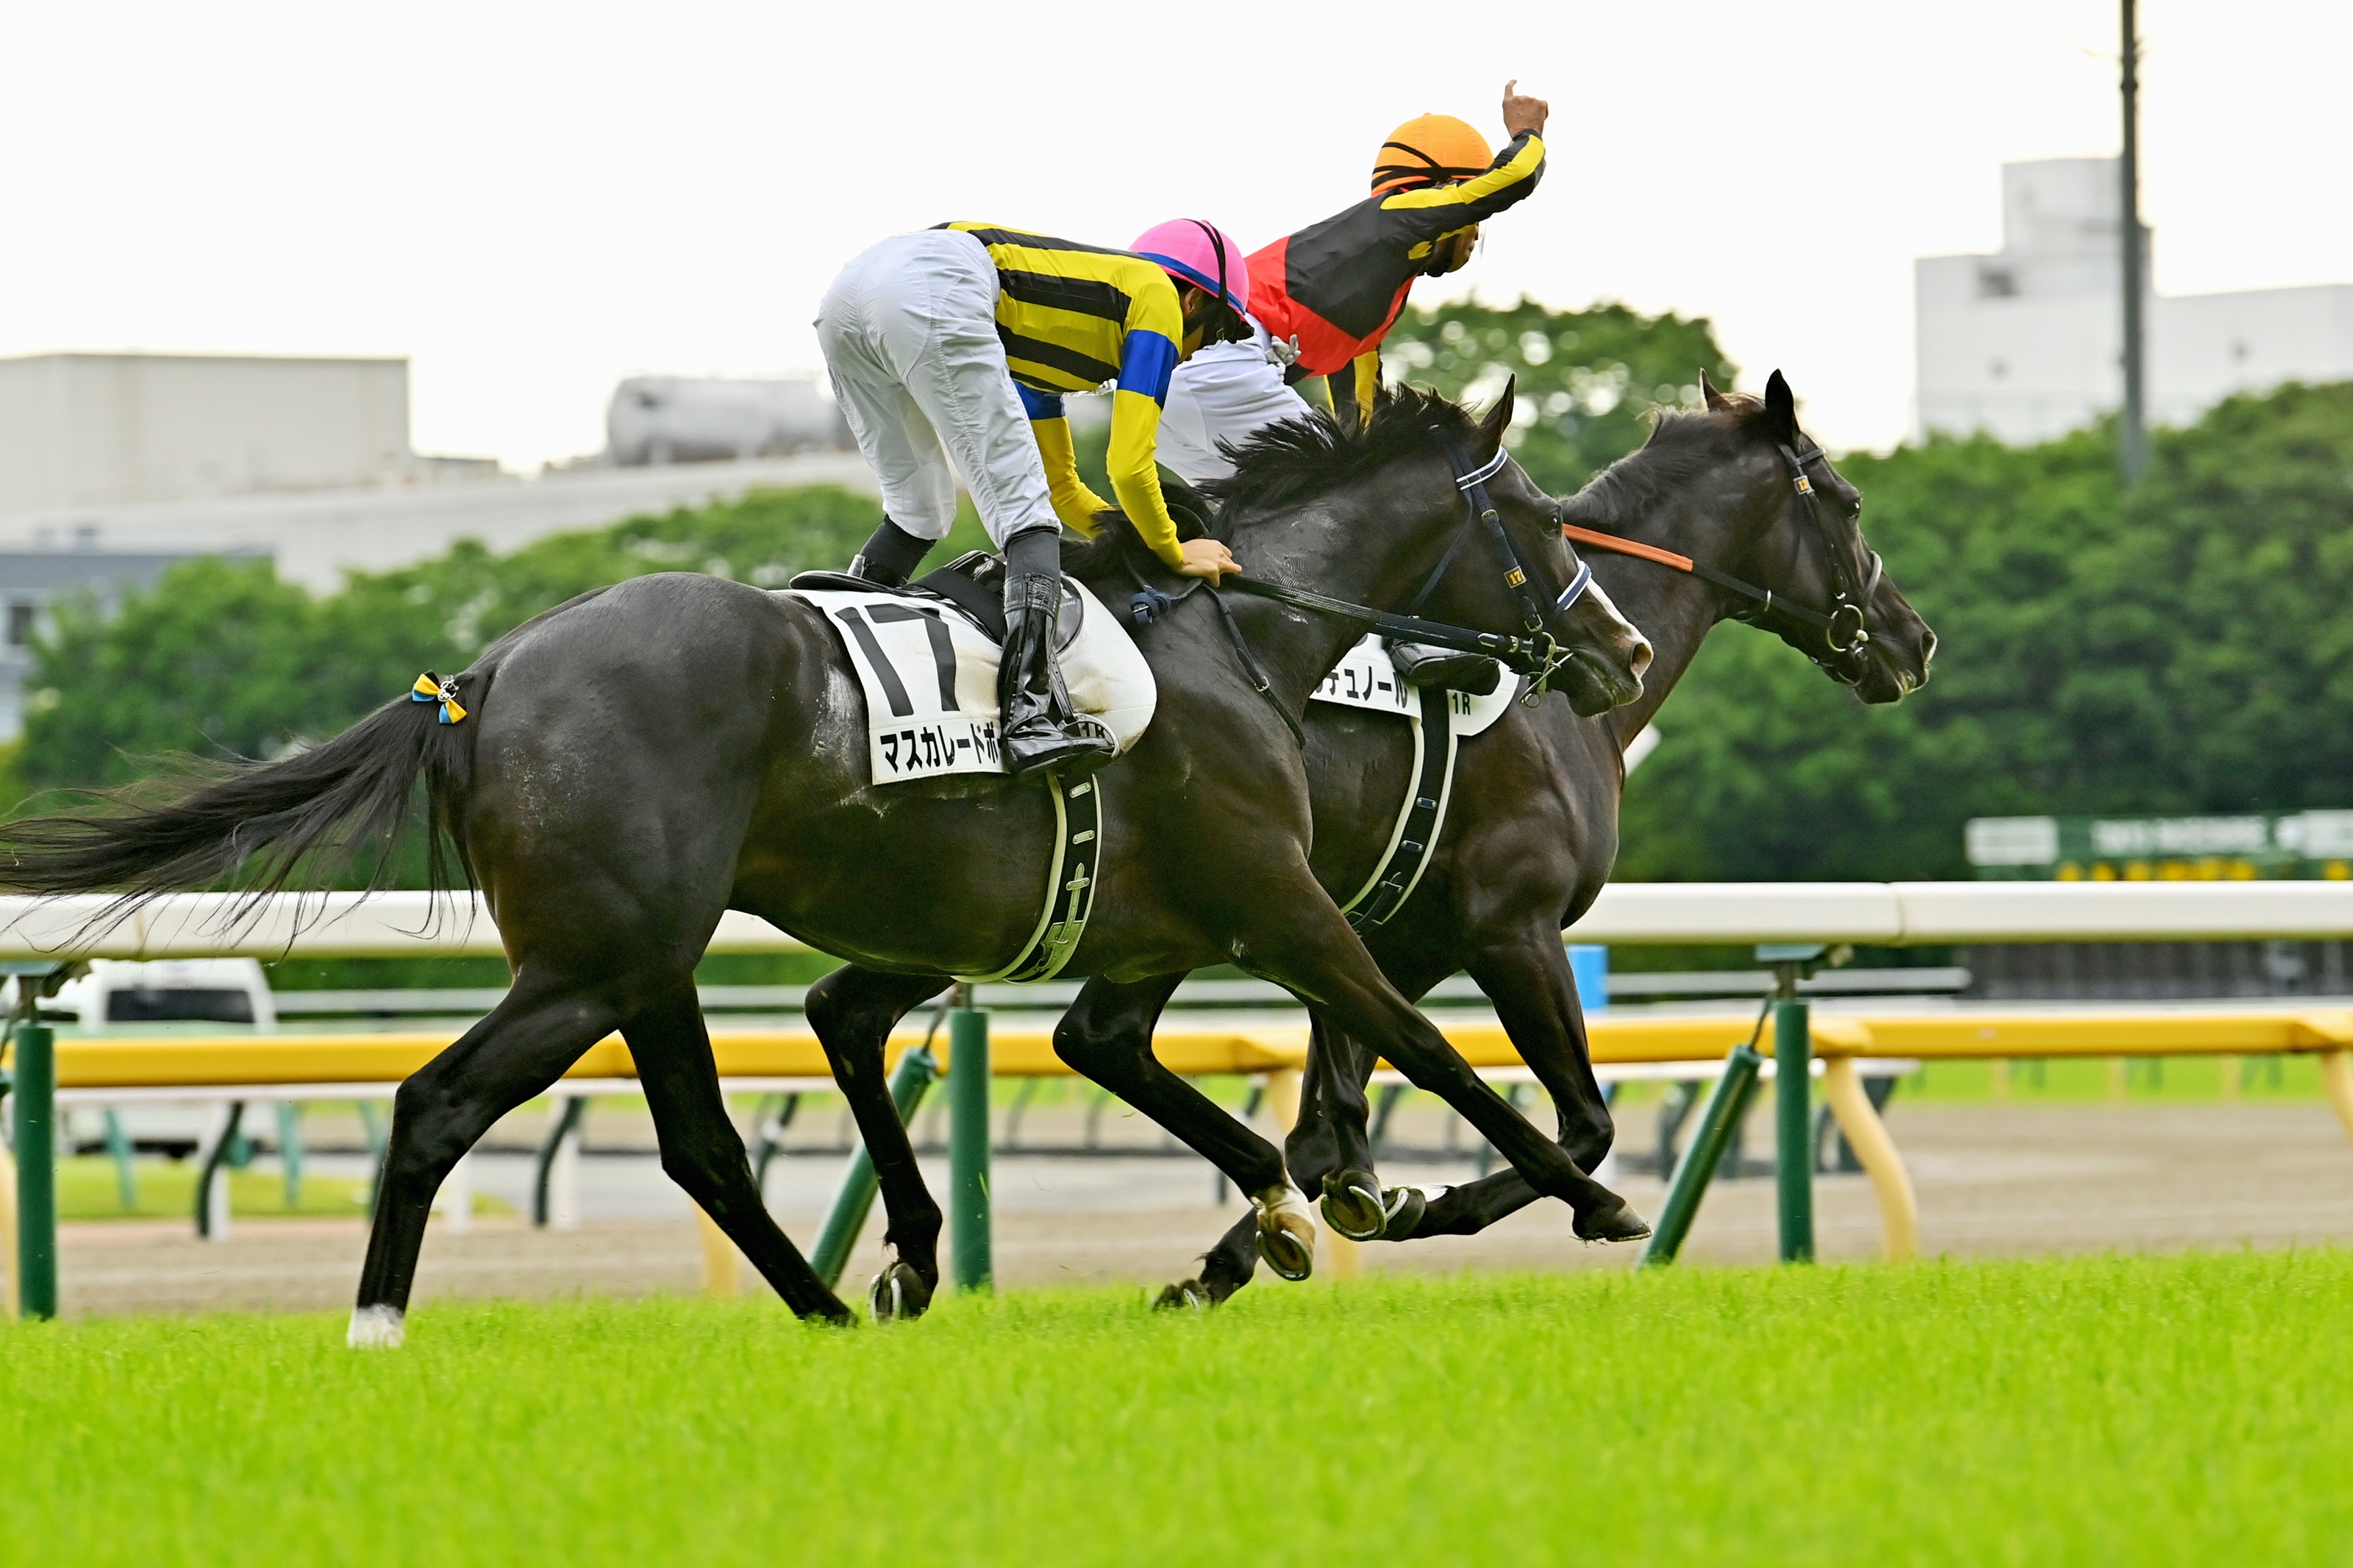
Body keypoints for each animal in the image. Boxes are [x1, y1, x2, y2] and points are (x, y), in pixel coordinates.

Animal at [0, 383, 1652, 1341]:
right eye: (1540, 518)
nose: (1624, 648)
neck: (1237, 638)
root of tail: (483, 675)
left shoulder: (1138, 939)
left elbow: (1187, 1079)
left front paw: (1276, 1222)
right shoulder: (1282, 903)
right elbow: (1420, 1039)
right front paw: (1580, 1197)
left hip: (640, 963)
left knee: (697, 1144)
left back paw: (823, 1308)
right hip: (595, 959)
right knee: (439, 1102)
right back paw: (381, 1325)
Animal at [1096, 370, 1939, 1305]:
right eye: (1848, 503)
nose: (1914, 640)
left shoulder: (1398, 937)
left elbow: (1325, 1121)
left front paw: (1269, 1238)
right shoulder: (1511, 927)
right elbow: (1584, 1125)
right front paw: (1441, 1203)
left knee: (1101, 1038)